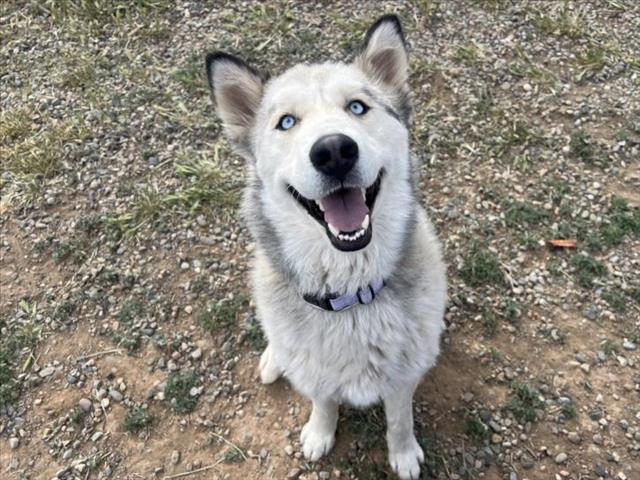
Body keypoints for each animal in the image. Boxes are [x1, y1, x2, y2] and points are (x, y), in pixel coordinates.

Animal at [208, 15, 448, 480]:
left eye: (357, 107)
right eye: (286, 122)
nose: (334, 150)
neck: (351, 296)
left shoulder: (404, 375)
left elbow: (400, 418)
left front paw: (404, 453)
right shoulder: (318, 375)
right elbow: (323, 401)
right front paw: (320, 433)